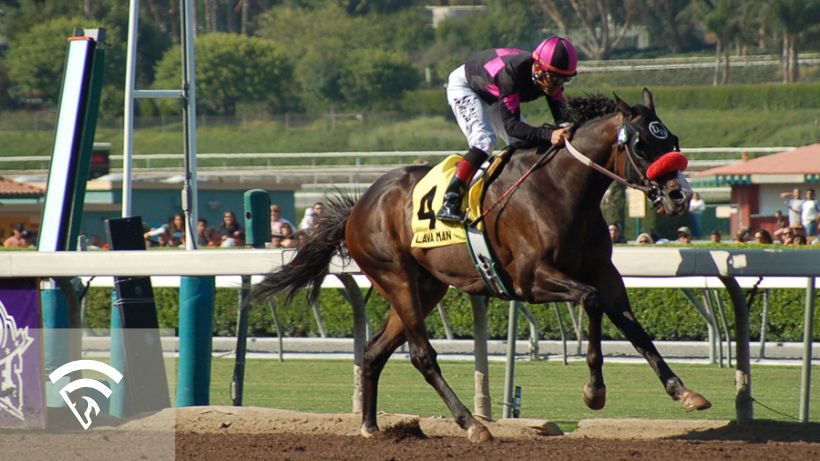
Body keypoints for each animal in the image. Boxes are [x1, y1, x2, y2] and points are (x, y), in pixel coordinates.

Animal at [255, 88, 712, 440]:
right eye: (640, 145)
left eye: (672, 138)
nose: (679, 196)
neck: (561, 190)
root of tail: (358, 207)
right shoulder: (531, 279)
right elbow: (593, 301)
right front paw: (594, 391)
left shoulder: (605, 272)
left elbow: (634, 328)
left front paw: (683, 391)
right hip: (395, 276)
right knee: (421, 355)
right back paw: (472, 424)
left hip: (425, 287)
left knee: (373, 351)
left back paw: (370, 425)